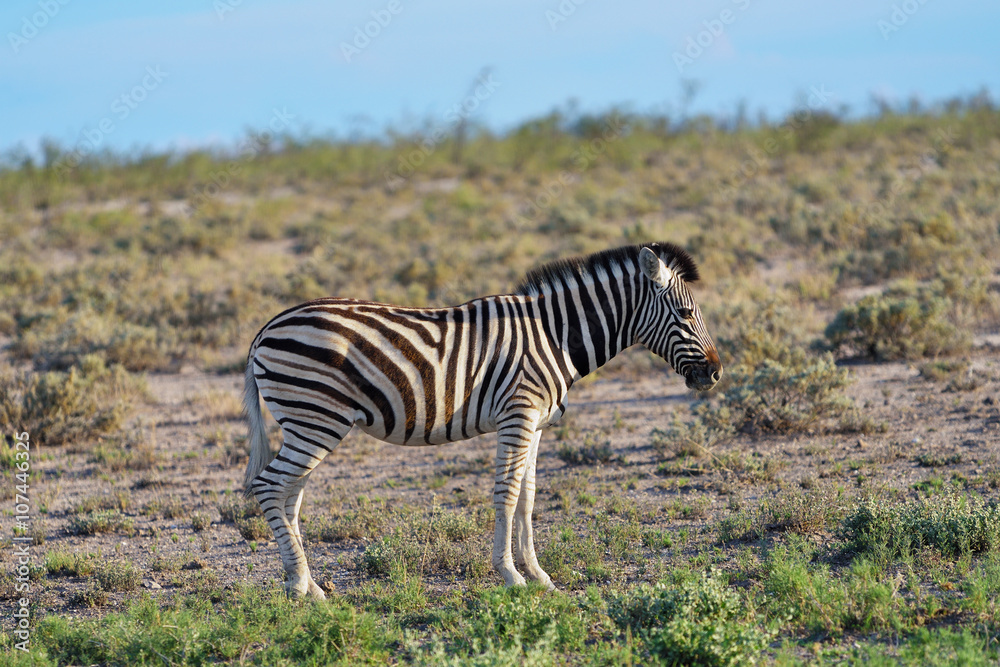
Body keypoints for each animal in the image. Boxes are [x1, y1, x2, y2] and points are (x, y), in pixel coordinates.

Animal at [243, 242, 722, 598]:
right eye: (685, 314)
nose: (716, 373)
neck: (555, 336)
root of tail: (264, 329)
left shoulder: (536, 425)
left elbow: (528, 498)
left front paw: (540, 576)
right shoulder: (518, 416)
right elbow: (506, 496)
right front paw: (511, 576)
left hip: (308, 423)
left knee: (289, 496)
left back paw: (308, 587)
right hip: (316, 419)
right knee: (269, 487)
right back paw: (300, 587)